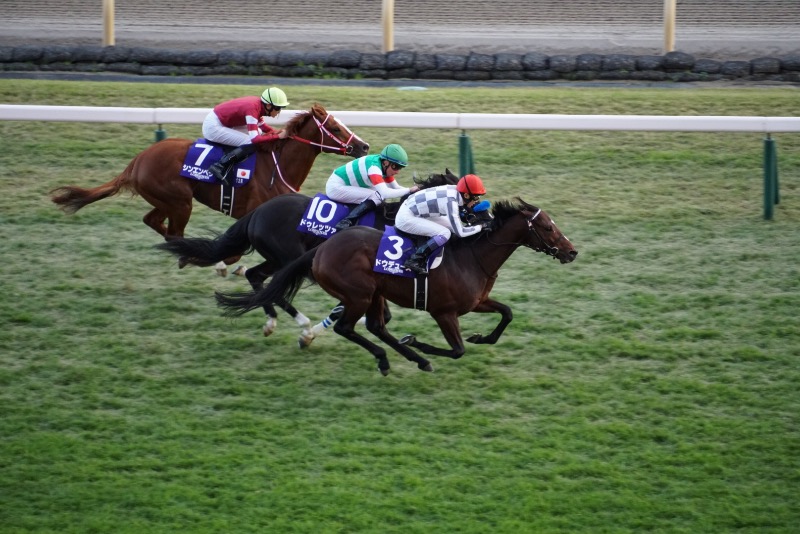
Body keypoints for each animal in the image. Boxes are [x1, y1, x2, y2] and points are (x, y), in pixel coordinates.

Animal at [51, 103, 370, 274]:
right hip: (180, 202)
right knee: (174, 232)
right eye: (336, 128)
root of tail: (138, 159)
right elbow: (234, 254)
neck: (278, 165)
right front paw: (224, 264)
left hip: (167, 201)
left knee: (153, 221)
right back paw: (189, 255)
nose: (364, 146)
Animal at [216, 198, 580, 376]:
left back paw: (409, 358)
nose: (572, 251)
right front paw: (420, 342)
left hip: (375, 293)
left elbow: (507, 313)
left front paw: (481, 337)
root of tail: (322, 248)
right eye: (548, 227)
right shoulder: (443, 311)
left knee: (376, 326)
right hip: (359, 293)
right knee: (349, 327)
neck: (473, 256)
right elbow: (457, 350)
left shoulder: (476, 302)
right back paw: (390, 358)